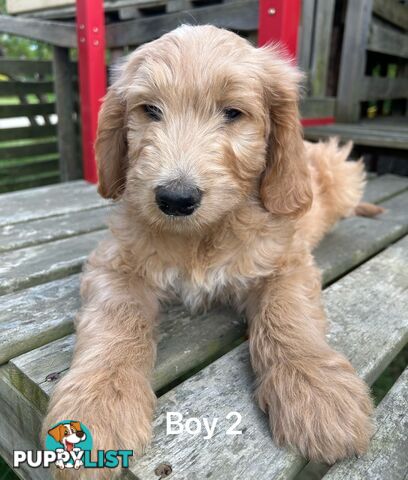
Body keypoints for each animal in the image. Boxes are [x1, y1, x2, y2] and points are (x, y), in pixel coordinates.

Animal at [43, 25, 378, 476]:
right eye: (150, 110)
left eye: (233, 113)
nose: (175, 198)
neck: (201, 236)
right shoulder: (114, 263)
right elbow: (117, 317)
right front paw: (98, 399)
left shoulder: (286, 262)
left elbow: (287, 315)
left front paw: (317, 391)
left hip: (341, 171)